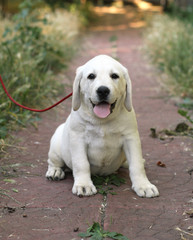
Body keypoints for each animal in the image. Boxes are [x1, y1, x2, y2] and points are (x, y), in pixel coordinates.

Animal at [46, 55, 159, 198]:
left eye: (114, 76)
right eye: (91, 76)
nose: (103, 90)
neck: (103, 121)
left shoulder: (131, 138)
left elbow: (136, 163)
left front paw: (143, 185)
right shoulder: (78, 139)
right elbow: (81, 164)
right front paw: (84, 185)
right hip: (56, 147)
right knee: (54, 161)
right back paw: (55, 171)